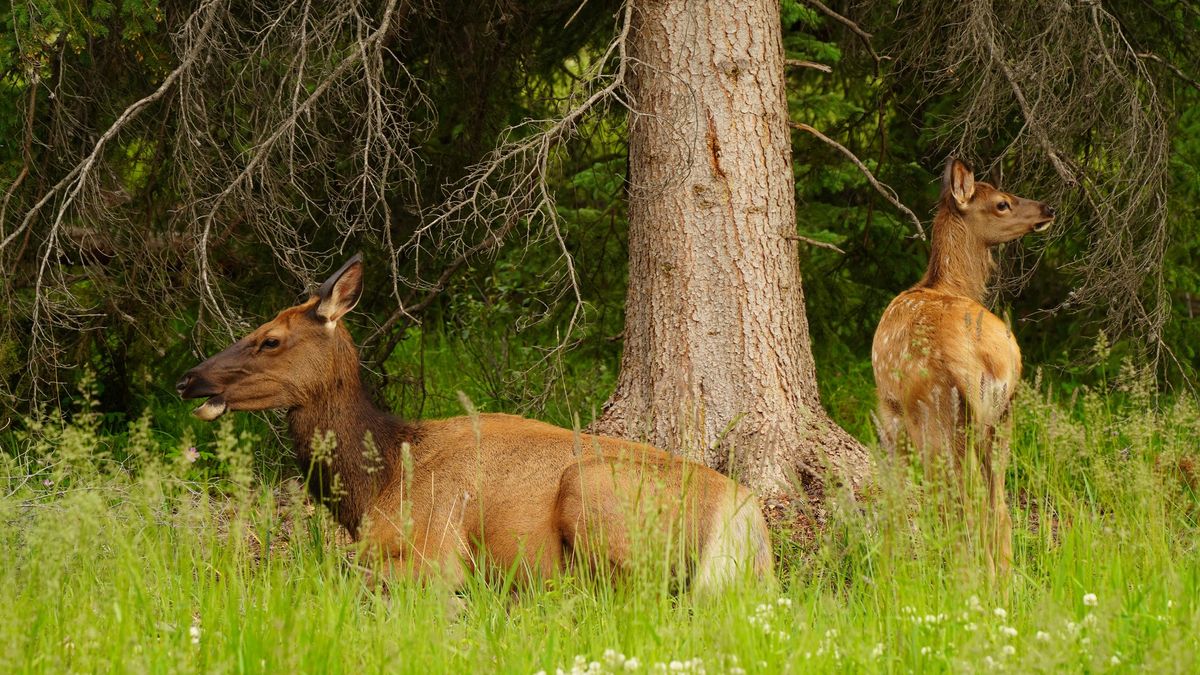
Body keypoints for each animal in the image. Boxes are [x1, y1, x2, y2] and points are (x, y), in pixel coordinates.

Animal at [177, 254, 777, 590]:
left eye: (270, 339)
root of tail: (748, 525)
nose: (190, 379)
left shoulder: (437, 550)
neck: (379, 480)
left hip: (594, 490)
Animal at [873, 156, 1051, 571]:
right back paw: (1000, 574)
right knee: (997, 503)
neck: (946, 284)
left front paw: (889, 565)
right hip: (1002, 413)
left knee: (959, 503)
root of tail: (983, 357)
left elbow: (895, 496)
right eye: (1002, 203)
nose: (1047, 208)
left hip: (936, 414)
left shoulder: (888, 410)